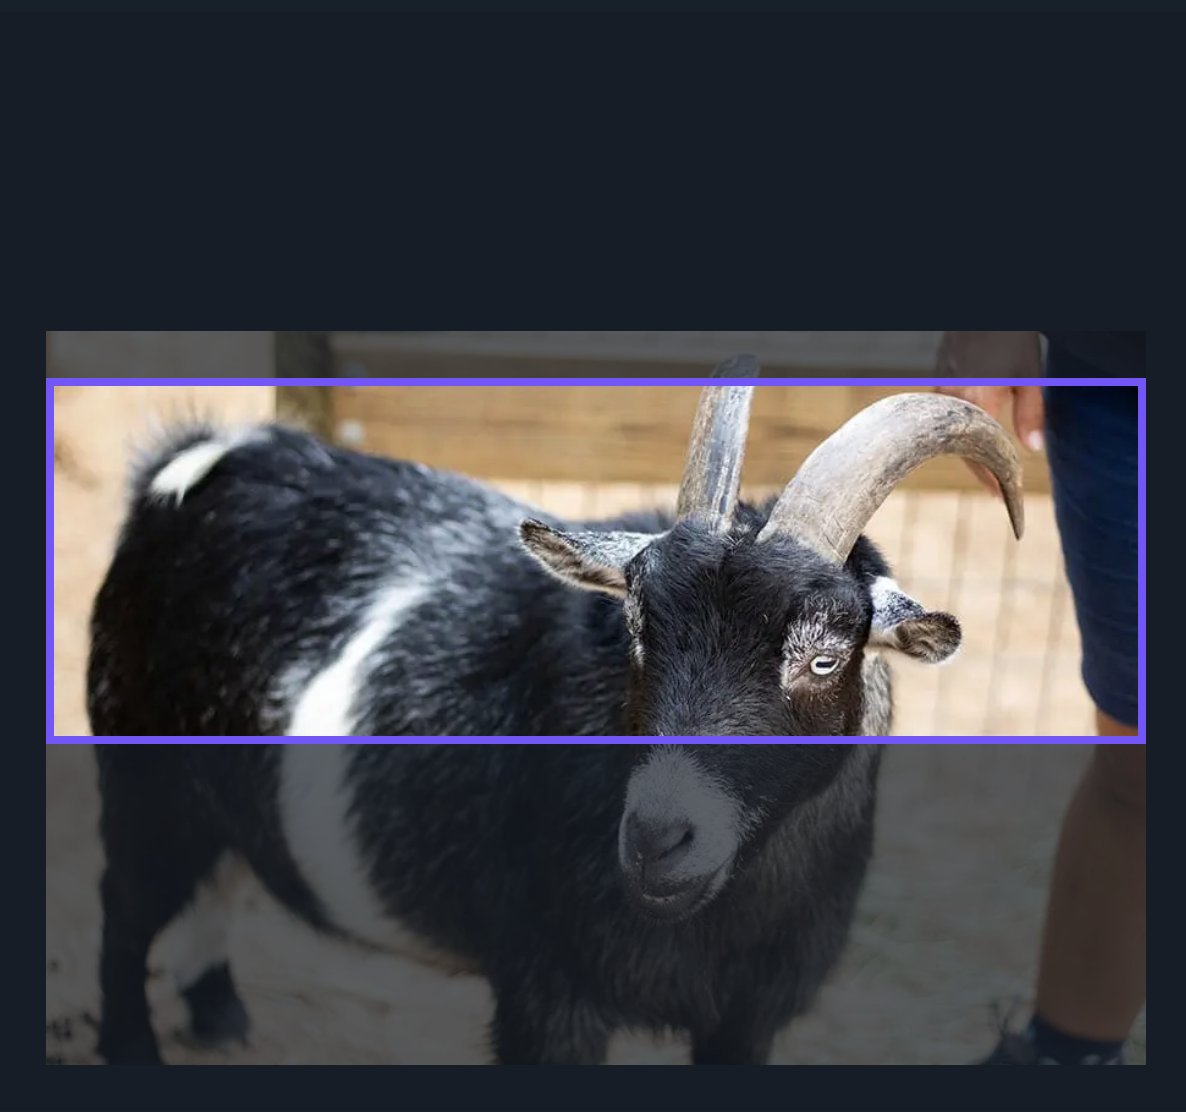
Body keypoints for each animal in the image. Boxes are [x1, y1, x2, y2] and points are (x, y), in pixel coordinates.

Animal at [87, 358, 1023, 1064]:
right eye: (638, 629)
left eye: (825, 656)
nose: (656, 838)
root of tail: (196, 461)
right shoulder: (547, 988)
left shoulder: (747, 1018)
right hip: (141, 768)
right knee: (126, 907)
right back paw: (135, 1048)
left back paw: (219, 1016)